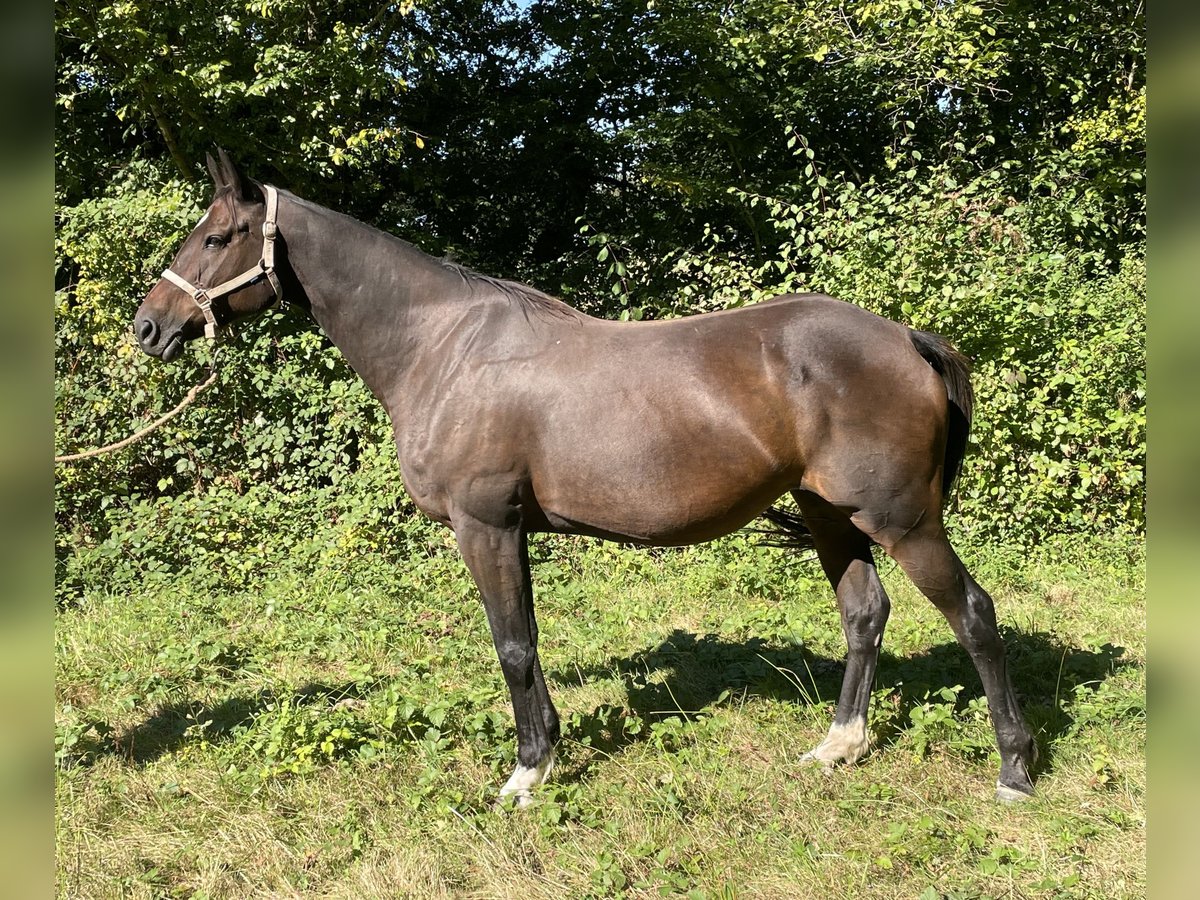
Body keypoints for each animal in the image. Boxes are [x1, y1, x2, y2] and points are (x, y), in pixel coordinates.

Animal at [131, 151, 1036, 806]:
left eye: (214, 238)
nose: (148, 327)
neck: (442, 347)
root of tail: (905, 337)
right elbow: (525, 641)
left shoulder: (486, 525)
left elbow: (512, 644)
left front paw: (527, 772)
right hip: (827, 513)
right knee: (864, 613)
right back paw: (838, 746)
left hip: (902, 519)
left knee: (974, 615)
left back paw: (1015, 770)